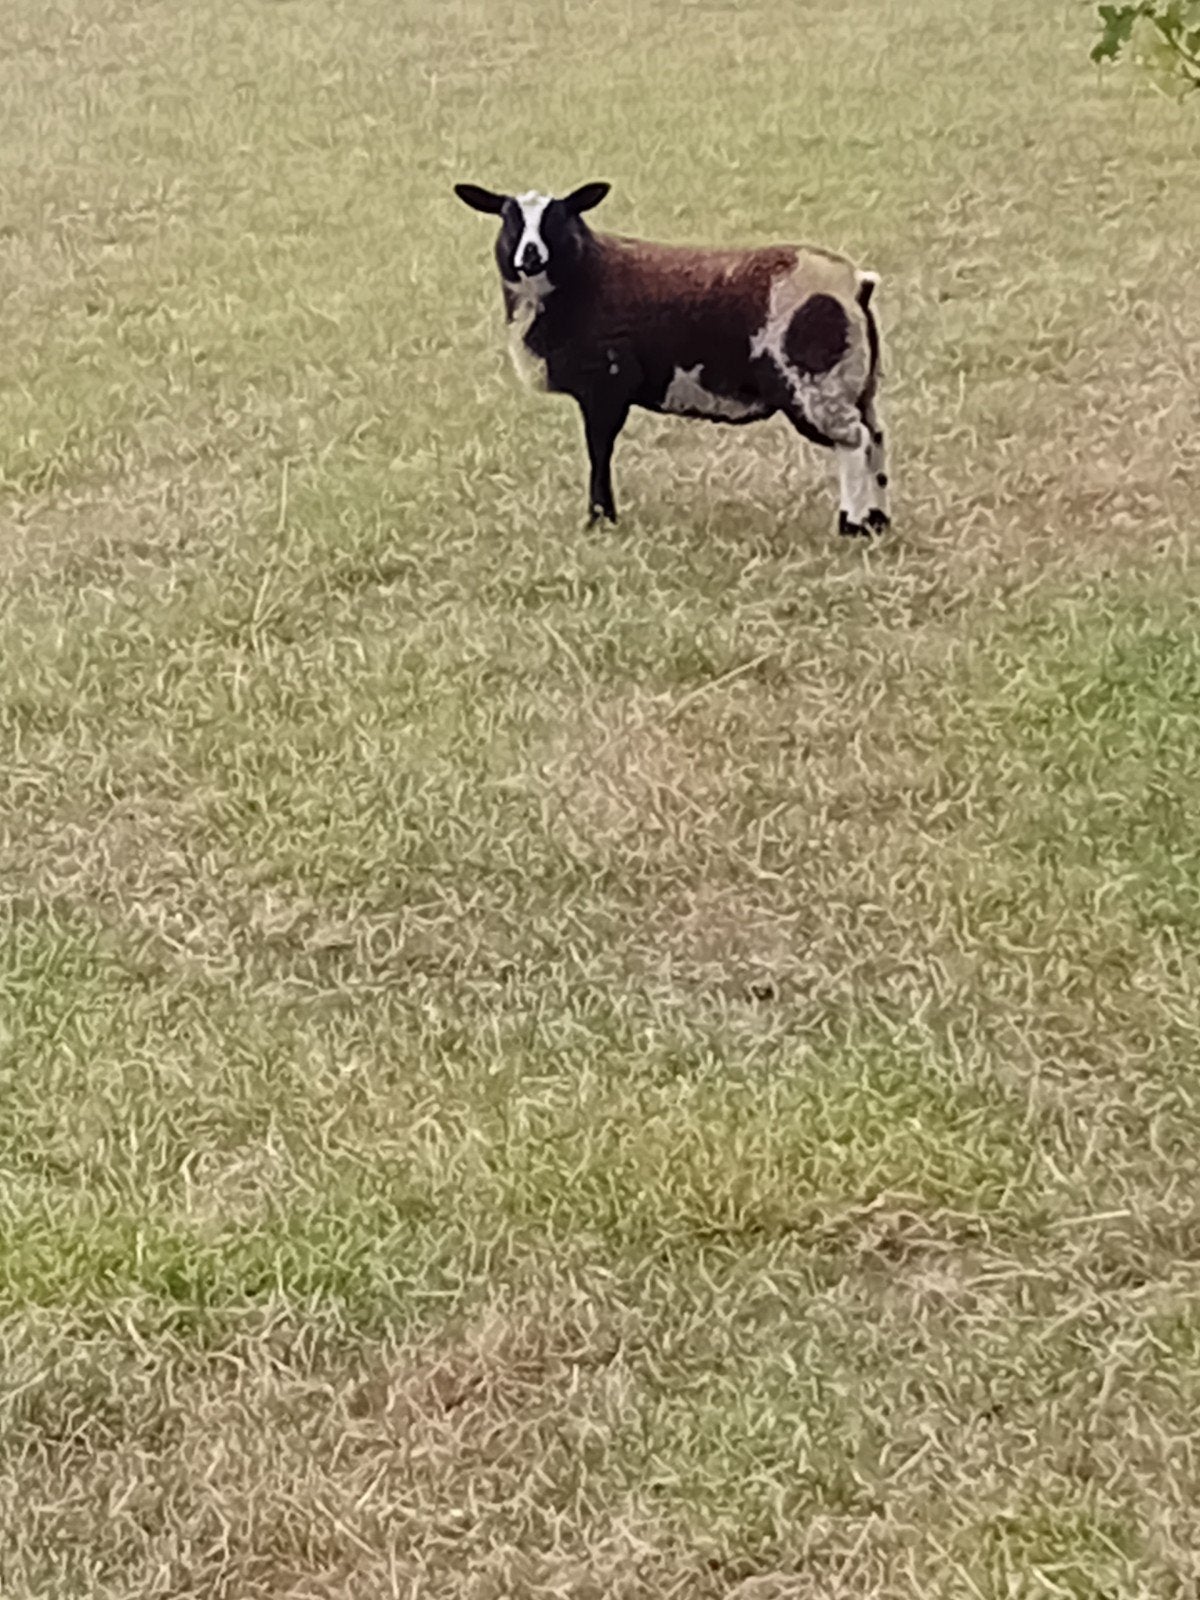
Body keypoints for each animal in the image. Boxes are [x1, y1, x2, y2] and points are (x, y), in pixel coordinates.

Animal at [454, 181, 890, 538]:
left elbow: (599, 449)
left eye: (558, 218)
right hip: (858, 384)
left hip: (818, 382)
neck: (583, 276)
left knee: (854, 441)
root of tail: (855, 284)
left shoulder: (606, 383)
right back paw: (877, 521)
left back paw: (851, 524)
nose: (530, 256)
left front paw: (599, 520)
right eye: (509, 219)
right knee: (877, 437)